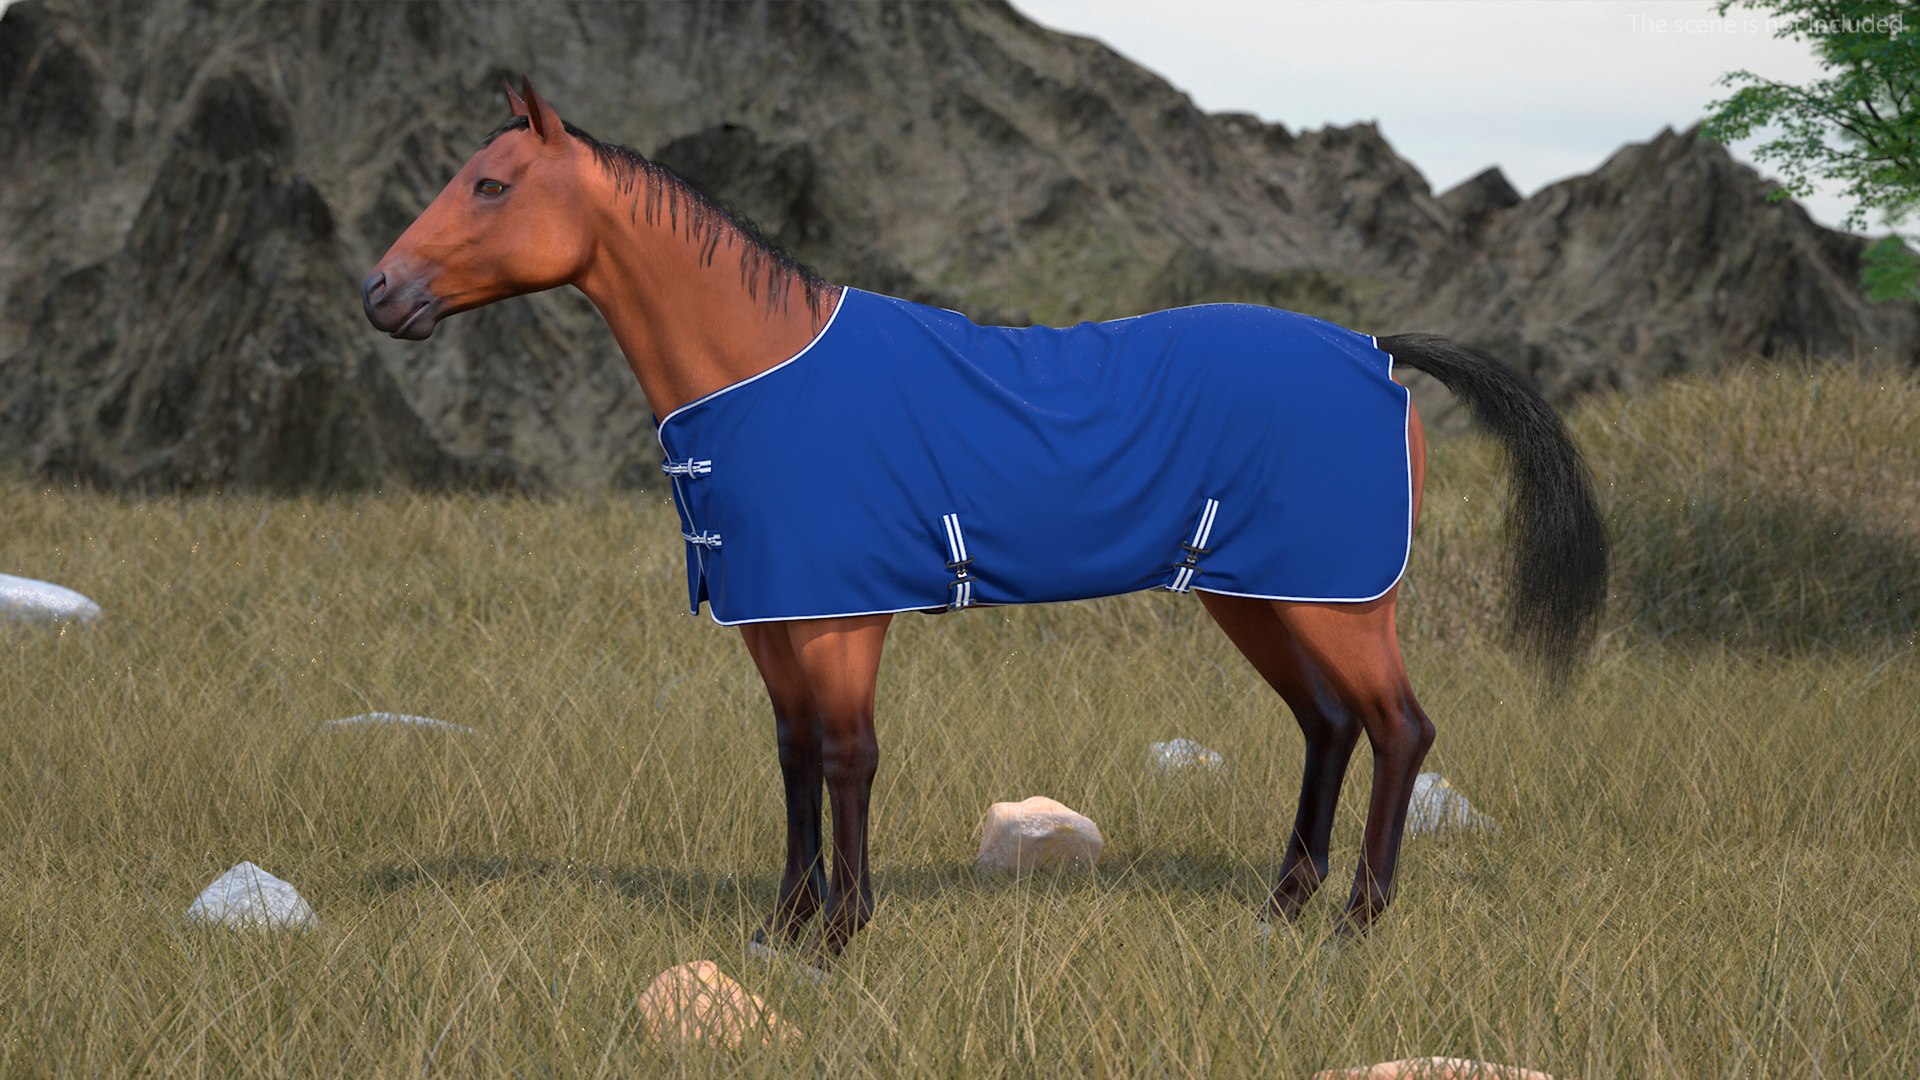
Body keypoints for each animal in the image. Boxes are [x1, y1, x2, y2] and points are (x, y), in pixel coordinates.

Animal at [363, 80, 1607, 958]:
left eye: (491, 184)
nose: (380, 294)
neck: (764, 375)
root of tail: (1380, 350)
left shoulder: (841, 618)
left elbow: (848, 755)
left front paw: (841, 936)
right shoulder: (774, 621)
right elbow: (793, 757)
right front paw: (780, 929)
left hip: (1336, 599)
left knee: (1399, 729)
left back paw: (1354, 924)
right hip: (1259, 596)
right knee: (1330, 725)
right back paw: (1282, 909)